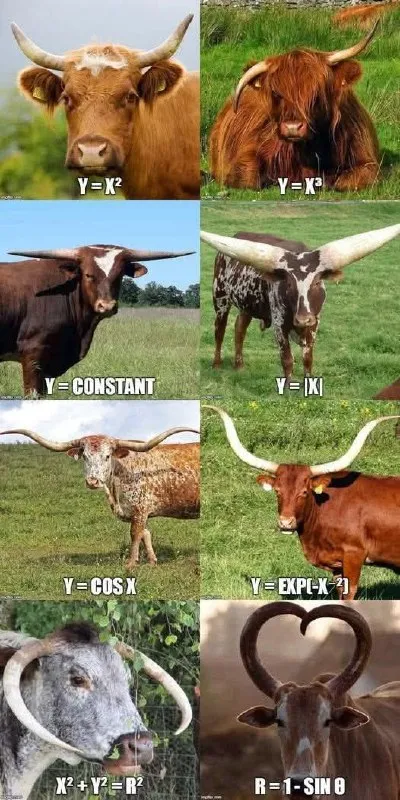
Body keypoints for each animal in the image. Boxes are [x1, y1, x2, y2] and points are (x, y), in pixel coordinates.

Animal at [0, 426, 200, 569]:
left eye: (107, 456)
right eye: (85, 456)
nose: (93, 481)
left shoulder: (139, 508)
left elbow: (135, 534)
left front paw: (130, 564)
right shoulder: (138, 512)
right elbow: (146, 535)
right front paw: (151, 561)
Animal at [200, 224, 400, 378]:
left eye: (318, 281)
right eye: (288, 283)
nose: (303, 319)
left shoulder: (315, 323)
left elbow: (307, 359)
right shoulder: (279, 324)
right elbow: (287, 359)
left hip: (247, 304)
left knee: (239, 328)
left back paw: (239, 365)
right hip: (220, 298)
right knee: (219, 330)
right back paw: (216, 364)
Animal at [204, 405, 400, 599]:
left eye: (304, 492)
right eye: (277, 491)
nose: (285, 522)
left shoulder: (354, 555)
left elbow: (349, 593)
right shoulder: (337, 563)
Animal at [209, 24, 380, 191]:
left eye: (317, 91)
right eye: (275, 93)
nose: (292, 127)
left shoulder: (367, 161)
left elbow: (345, 182)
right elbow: (249, 178)